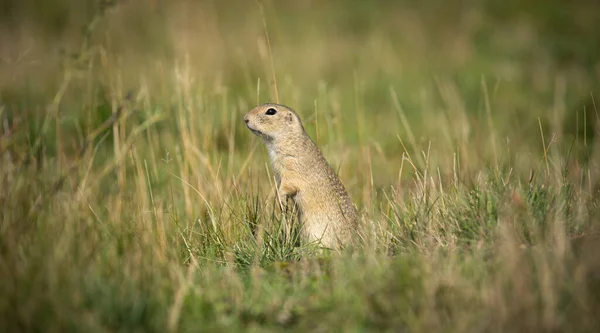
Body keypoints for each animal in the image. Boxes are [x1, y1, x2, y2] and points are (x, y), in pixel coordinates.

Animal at [245, 102, 360, 248]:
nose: (245, 118)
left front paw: (280, 199)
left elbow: (288, 186)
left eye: (271, 111)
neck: (289, 140)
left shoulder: (292, 169)